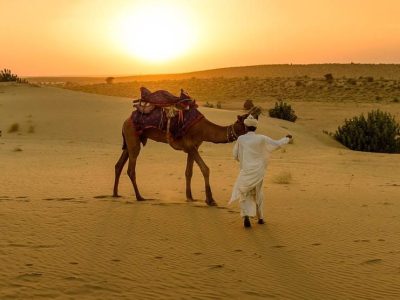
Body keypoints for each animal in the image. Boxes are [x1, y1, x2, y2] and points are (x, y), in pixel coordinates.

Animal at [113, 89, 260, 206]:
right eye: (246, 118)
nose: (257, 111)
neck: (204, 130)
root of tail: (126, 120)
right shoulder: (190, 145)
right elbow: (205, 169)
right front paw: (210, 199)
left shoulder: (193, 147)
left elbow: (189, 172)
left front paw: (190, 197)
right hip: (133, 137)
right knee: (131, 169)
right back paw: (139, 197)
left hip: (130, 140)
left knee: (119, 165)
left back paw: (115, 193)